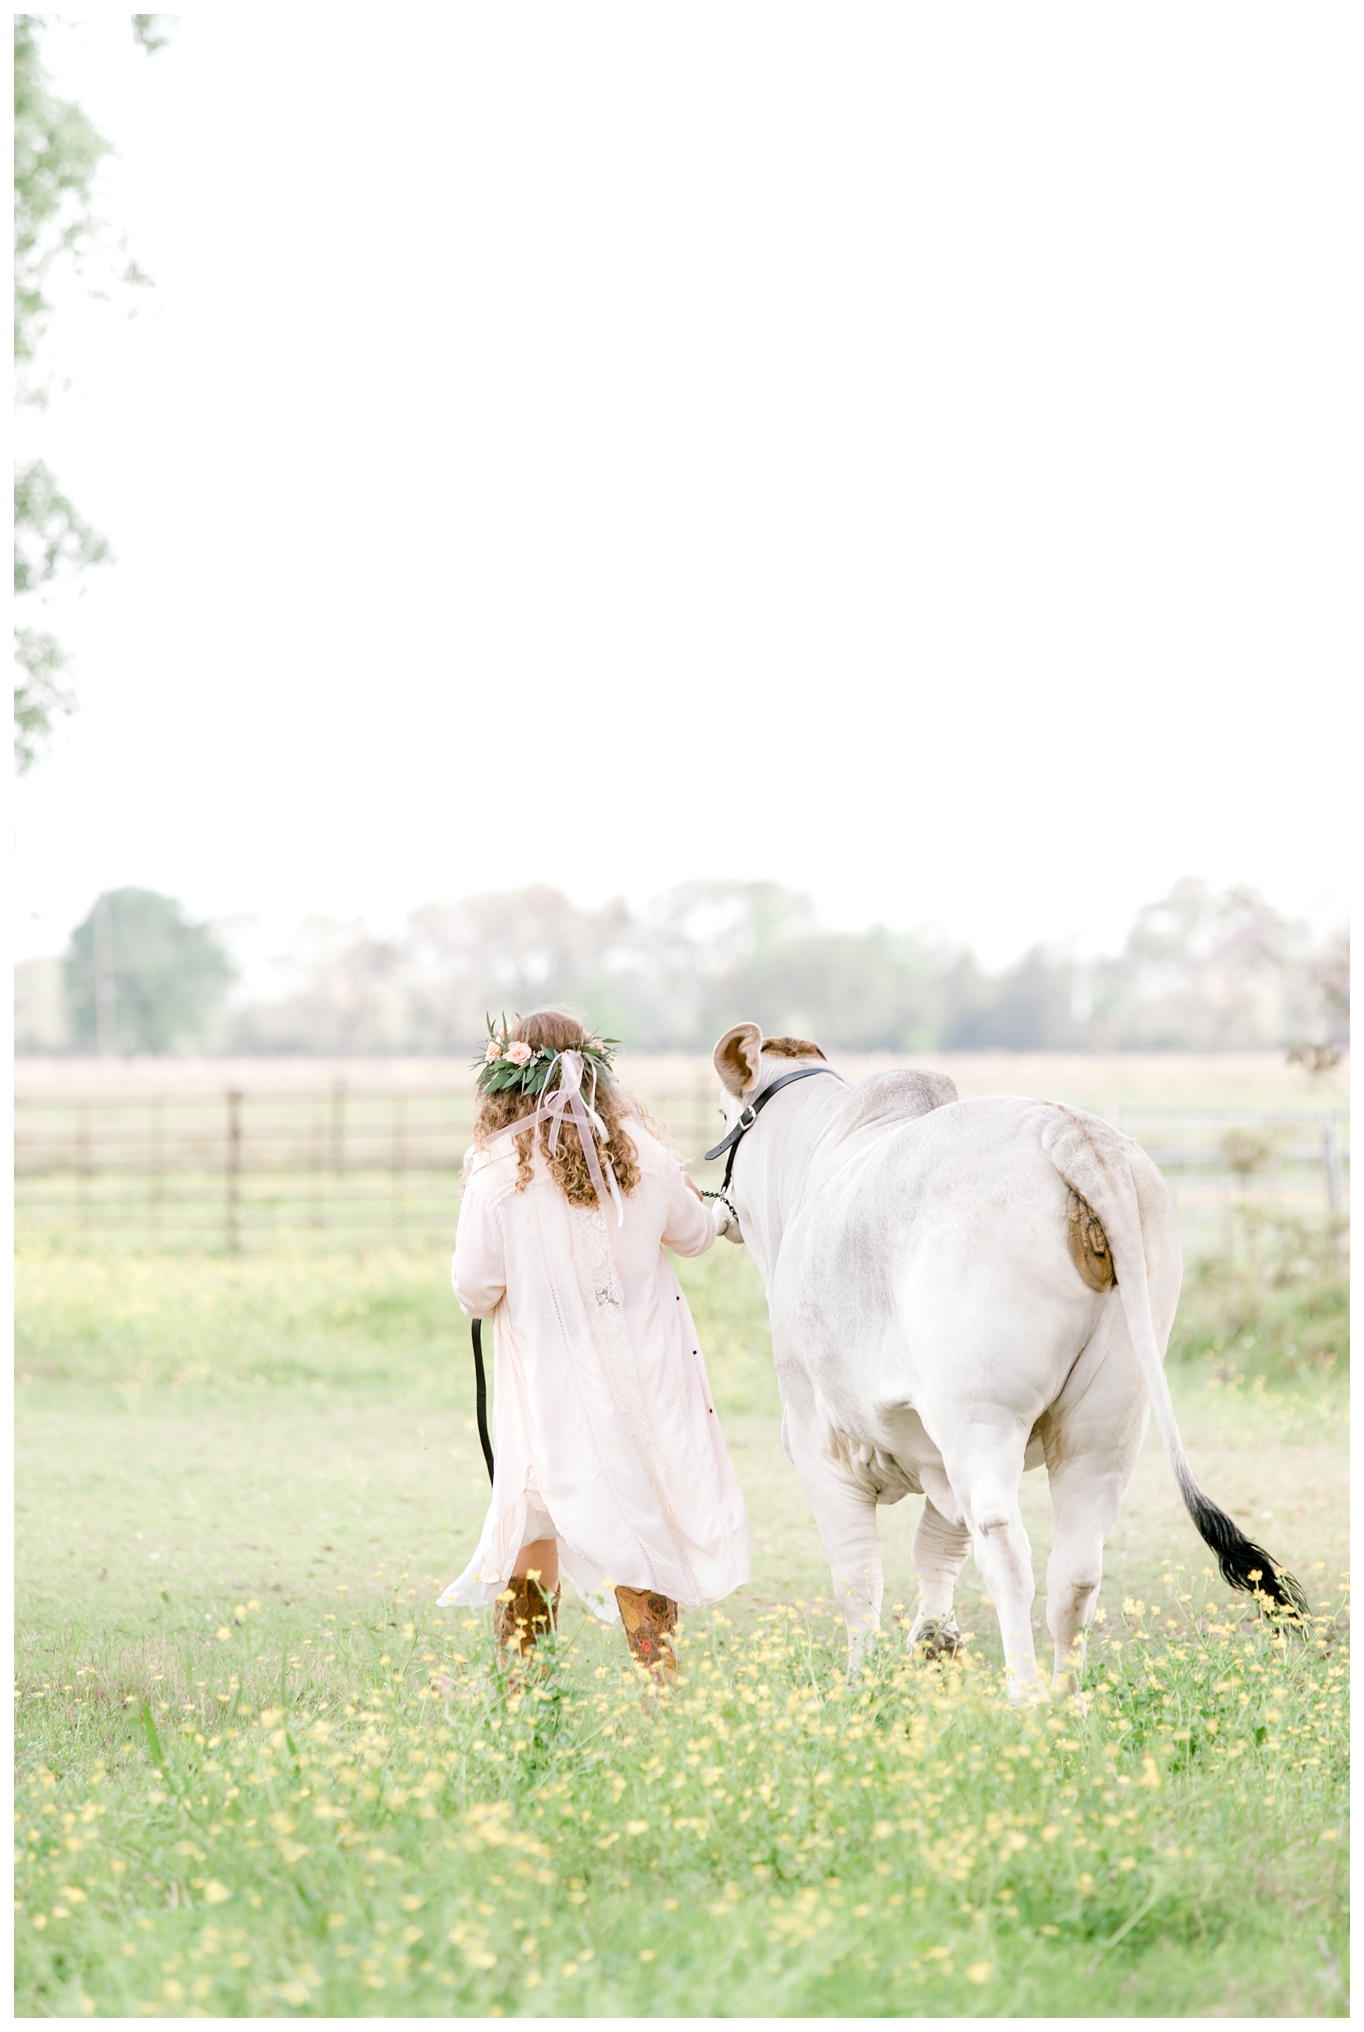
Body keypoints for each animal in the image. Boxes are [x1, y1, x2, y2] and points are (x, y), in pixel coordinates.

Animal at [711, 1024, 1309, 1690]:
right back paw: (1066, 1700)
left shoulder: (822, 1445)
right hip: (1106, 1421)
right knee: (1076, 1572)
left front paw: (857, 1686)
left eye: (724, 1115)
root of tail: (1072, 1130)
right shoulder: (937, 1452)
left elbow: (859, 1582)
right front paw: (933, 1645)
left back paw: (1025, 1697)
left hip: (981, 1417)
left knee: (1007, 1554)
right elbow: (935, 1546)